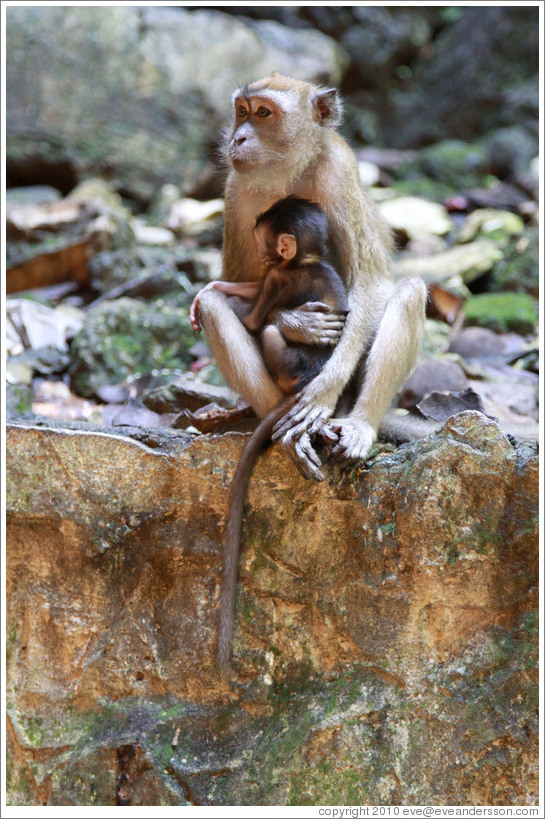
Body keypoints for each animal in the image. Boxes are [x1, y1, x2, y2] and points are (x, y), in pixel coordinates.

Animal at [190, 74, 424, 480]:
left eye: (263, 113)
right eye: (242, 111)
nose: (239, 138)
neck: (289, 172)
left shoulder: (339, 172)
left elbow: (370, 283)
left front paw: (322, 392)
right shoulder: (235, 193)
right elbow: (244, 292)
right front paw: (297, 323)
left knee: (409, 292)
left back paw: (358, 423)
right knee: (214, 306)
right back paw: (279, 425)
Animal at [214, 197, 348, 672]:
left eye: (265, 245)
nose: (264, 256)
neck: (305, 260)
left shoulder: (277, 279)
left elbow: (258, 318)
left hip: (288, 366)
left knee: (270, 329)